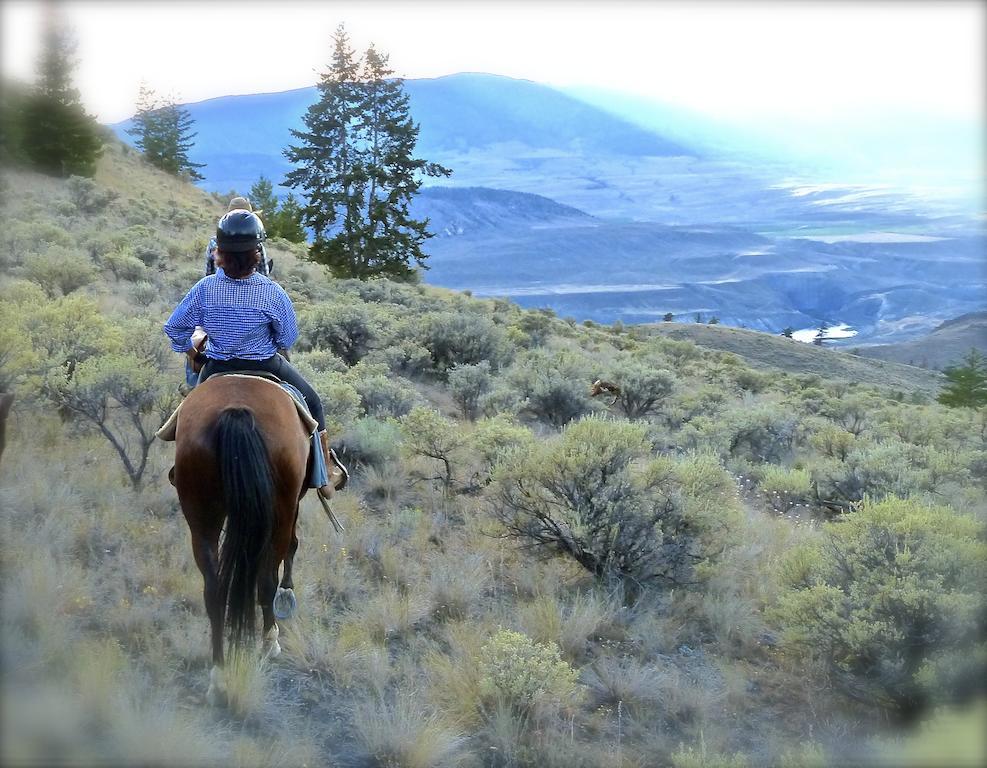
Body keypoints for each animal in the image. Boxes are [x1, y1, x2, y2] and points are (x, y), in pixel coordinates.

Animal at [171, 376, 308, 704]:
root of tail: (237, 409)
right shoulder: (293, 506)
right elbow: (291, 546)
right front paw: (288, 591)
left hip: (201, 516)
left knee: (214, 591)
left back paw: (218, 677)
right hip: (280, 510)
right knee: (265, 581)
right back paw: (269, 642)